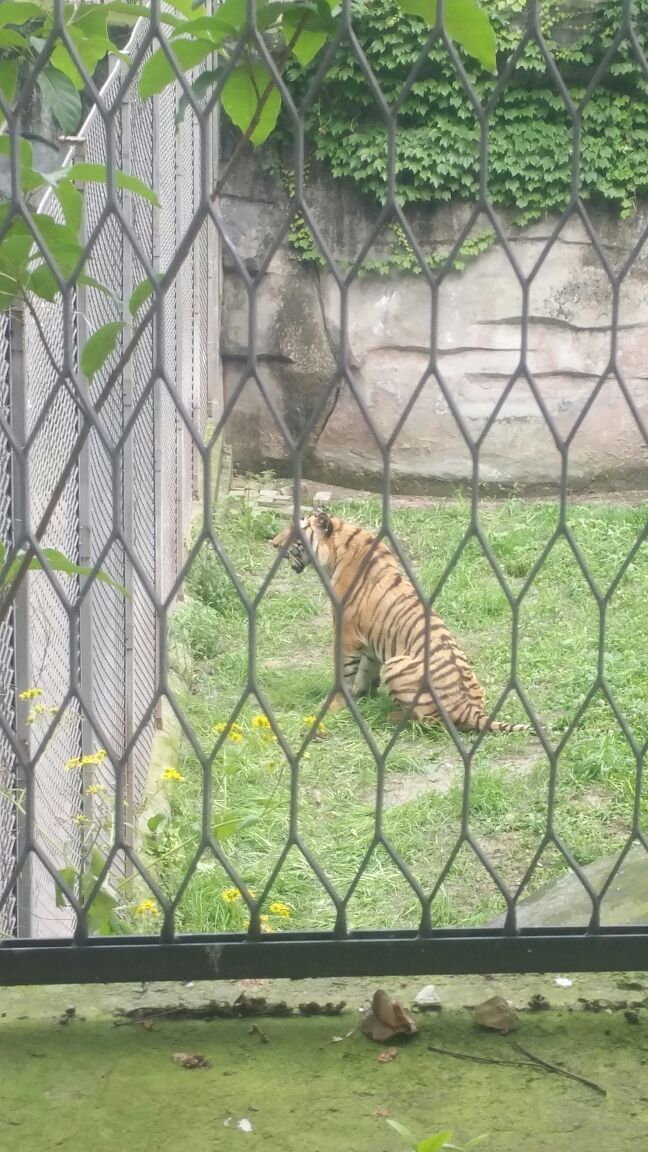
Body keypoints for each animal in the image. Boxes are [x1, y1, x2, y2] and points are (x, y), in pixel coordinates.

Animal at [269, 509, 528, 732]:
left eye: (295, 530)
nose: (273, 543)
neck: (336, 549)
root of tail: (472, 710)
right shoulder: (369, 642)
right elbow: (365, 669)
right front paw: (361, 694)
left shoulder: (346, 635)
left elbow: (344, 672)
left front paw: (334, 705)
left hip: (395, 665)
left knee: (429, 722)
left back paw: (391, 717)